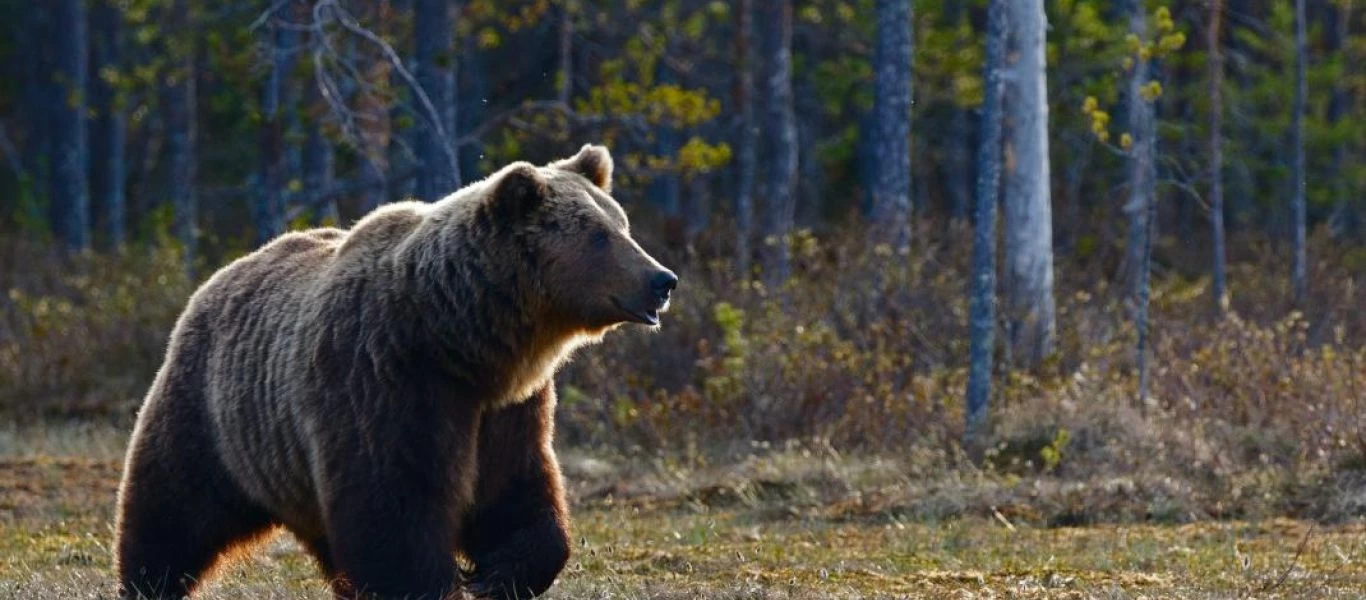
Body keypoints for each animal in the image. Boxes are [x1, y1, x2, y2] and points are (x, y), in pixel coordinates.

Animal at [113, 146, 677, 600]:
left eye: (622, 225)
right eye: (599, 236)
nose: (662, 279)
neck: (461, 340)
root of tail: (221, 275)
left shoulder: (507, 409)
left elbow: (517, 494)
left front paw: (498, 573)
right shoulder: (386, 380)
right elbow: (395, 508)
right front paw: (438, 583)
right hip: (213, 416)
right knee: (170, 510)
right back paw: (147, 582)